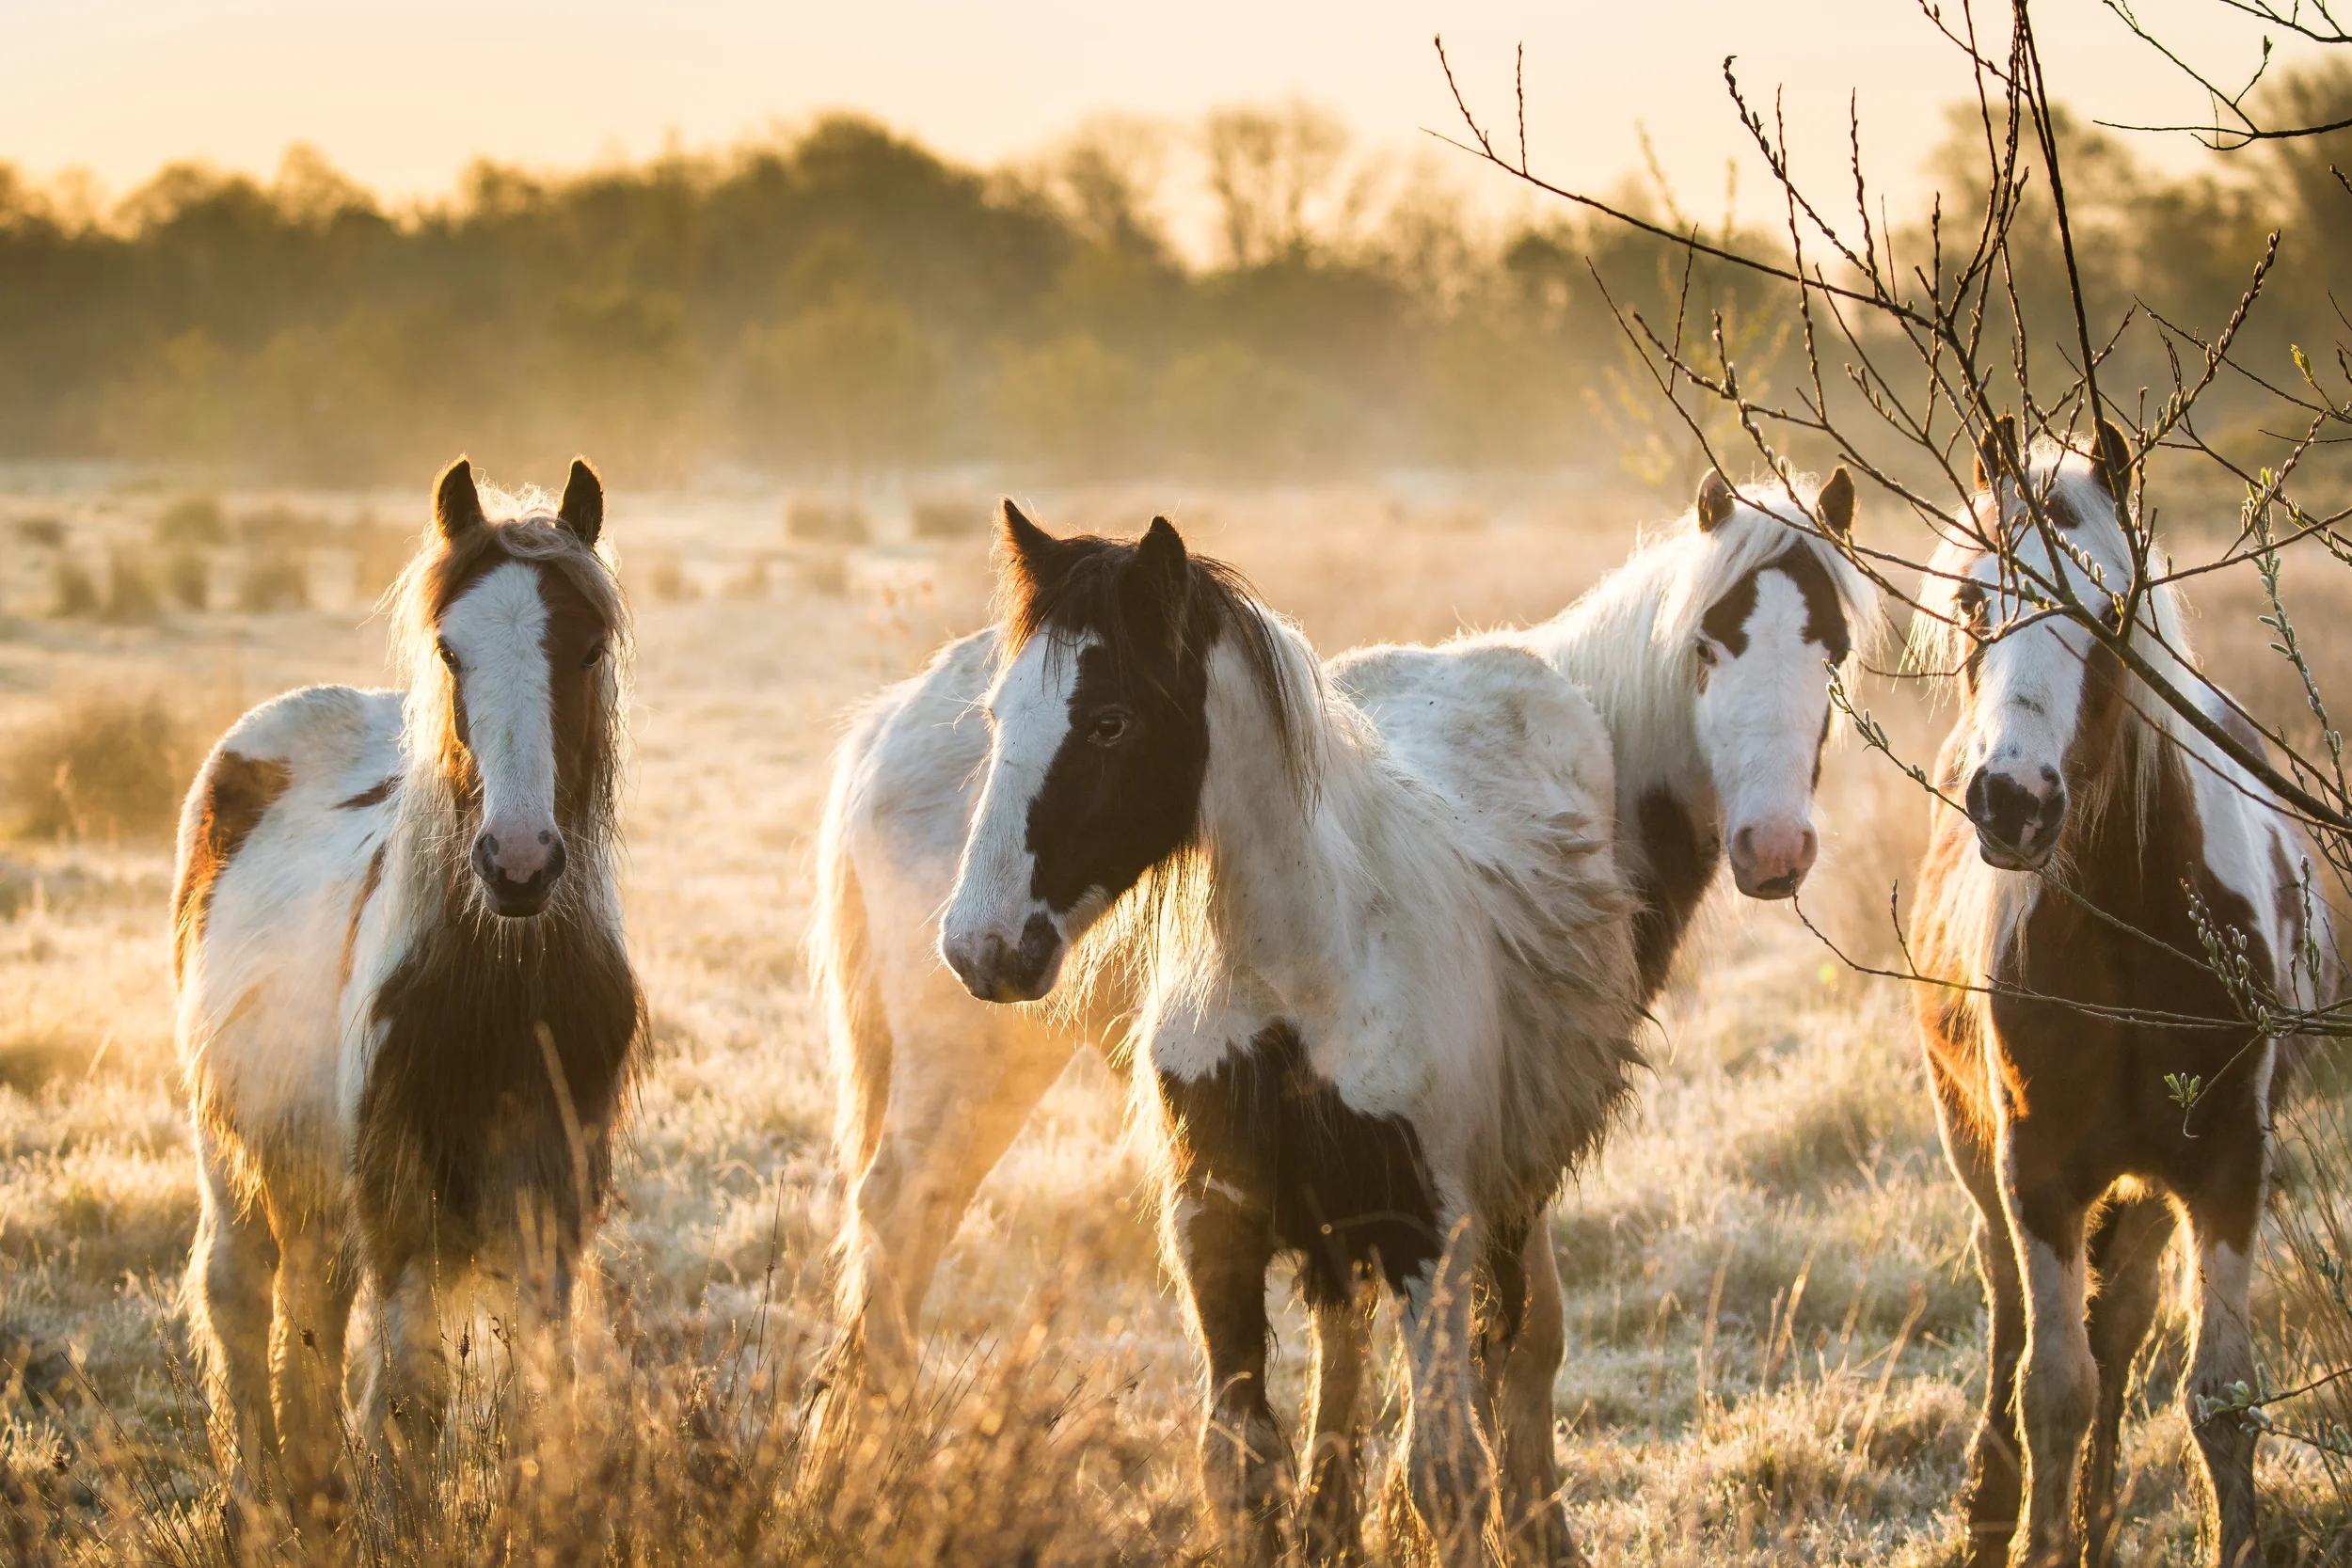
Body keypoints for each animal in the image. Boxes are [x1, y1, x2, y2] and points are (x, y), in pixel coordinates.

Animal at [175, 456, 644, 1523]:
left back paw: (314, 1494)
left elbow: (542, 1388)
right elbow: (413, 1398)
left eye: (587, 647)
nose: (518, 862)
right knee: (239, 1294)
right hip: (234, 1149)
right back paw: (258, 1499)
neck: (506, 989)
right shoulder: (399, 1205)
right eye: (450, 648)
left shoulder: (552, 1204)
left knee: (309, 1309)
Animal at [809, 473, 1871, 1550]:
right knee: (897, 1216)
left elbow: (1413, 1377)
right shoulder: (1270, 1210)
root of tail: (880, 725)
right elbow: (1473, 1367)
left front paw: (1351, 1518)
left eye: (1835, 651)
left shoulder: (1429, 1199)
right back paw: (866, 1469)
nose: (1774, 846)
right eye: (1707, 644)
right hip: (971, 1066)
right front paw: (1520, 1528)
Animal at [1907, 420, 2335, 1568]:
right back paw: (1991, 1503)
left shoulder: (2228, 1168)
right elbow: (2052, 1385)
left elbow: (2218, 1396)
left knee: (2125, 1317)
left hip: (2146, 1188)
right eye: (1973, 601)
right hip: (1979, 1146)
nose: (2012, 800)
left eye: (2110, 611)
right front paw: (2034, 1533)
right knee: (2013, 1304)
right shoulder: (2039, 1170)